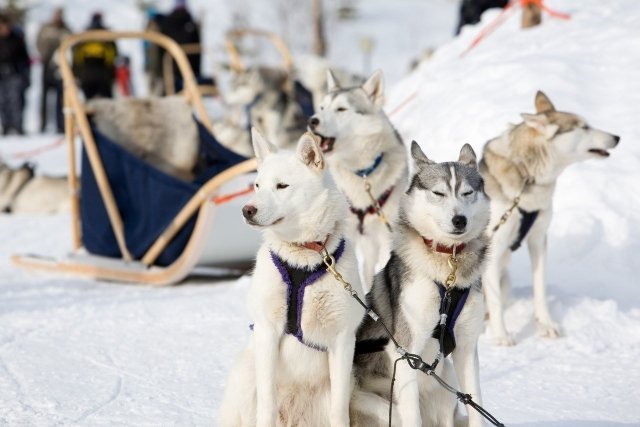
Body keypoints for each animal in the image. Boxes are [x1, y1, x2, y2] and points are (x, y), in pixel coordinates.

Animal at [220, 129, 364, 426]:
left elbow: (339, 411)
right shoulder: (267, 331)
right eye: (257, 185)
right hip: (245, 372)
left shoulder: (343, 340)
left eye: (282, 186)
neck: (303, 258)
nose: (246, 210)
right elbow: (266, 403)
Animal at [356, 142, 490, 426]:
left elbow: (476, 409)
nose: (459, 219)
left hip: (445, 385)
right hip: (379, 405)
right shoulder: (405, 354)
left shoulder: (466, 348)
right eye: (438, 193)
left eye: (467, 192)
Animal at [482, 90, 624, 344]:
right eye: (584, 127)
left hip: (505, 281)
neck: (527, 175)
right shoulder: (493, 246)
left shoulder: (538, 239)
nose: (616, 137)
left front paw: (546, 325)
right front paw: (502, 336)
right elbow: (496, 303)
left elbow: (540, 288)